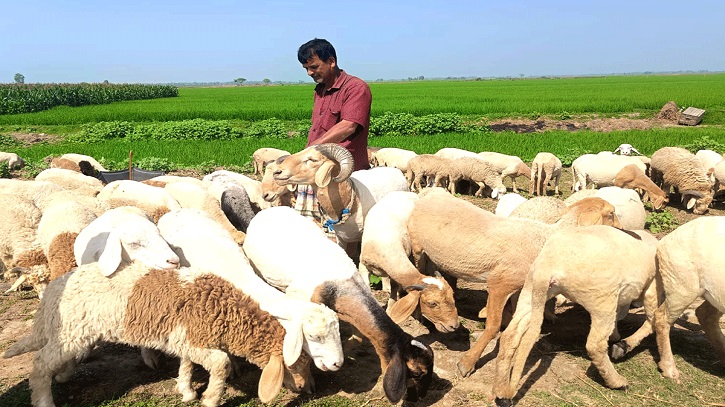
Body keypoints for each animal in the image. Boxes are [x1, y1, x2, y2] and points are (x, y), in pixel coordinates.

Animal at [356, 193, 458, 334]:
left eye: (452, 296)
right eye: (432, 303)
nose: (454, 326)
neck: (386, 245)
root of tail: (408, 193)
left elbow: (394, 288)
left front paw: (392, 310)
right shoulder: (363, 265)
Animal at [408, 190, 624, 378]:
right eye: (610, 213)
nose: (624, 231)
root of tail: (429, 194)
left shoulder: (519, 288)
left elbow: (513, 318)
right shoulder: (500, 283)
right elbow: (493, 326)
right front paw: (467, 363)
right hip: (417, 246)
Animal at [492, 228, 656, 404]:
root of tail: (548, 264)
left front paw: (616, 336)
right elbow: (651, 321)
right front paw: (621, 345)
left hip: (532, 289)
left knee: (510, 334)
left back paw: (500, 393)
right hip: (602, 299)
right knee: (595, 345)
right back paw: (617, 382)